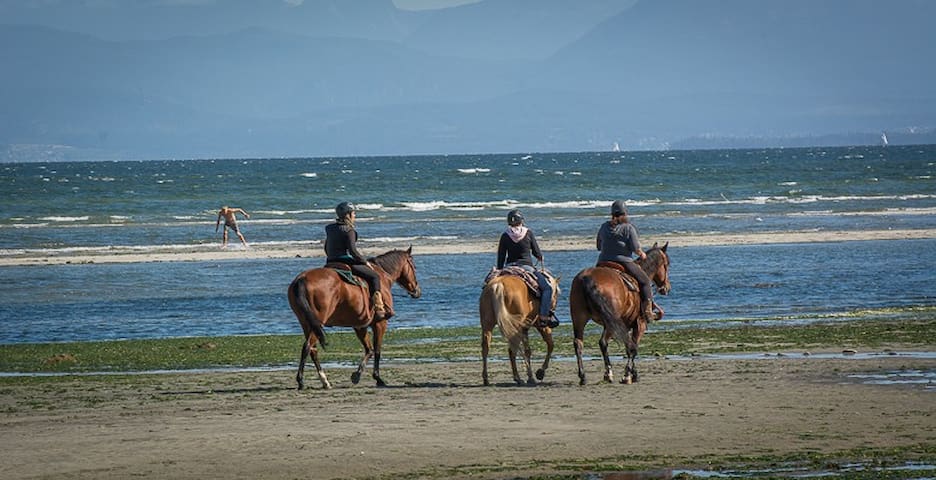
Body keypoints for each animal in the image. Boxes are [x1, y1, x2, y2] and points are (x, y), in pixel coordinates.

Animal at [288, 248, 422, 390]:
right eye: (414, 267)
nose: (417, 290)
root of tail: (302, 279)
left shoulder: (359, 326)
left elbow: (369, 349)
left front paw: (357, 375)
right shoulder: (380, 323)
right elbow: (377, 350)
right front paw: (377, 378)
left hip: (307, 324)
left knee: (313, 350)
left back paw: (325, 381)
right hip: (318, 323)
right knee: (307, 347)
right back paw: (301, 381)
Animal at [568, 242, 668, 384]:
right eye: (666, 264)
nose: (666, 287)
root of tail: (587, 278)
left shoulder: (623, 326)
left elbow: (628, 345)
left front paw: (633, 373)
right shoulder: (640, 324)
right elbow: (633, 347)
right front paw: (628, 375)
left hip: (579, 318)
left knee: (579, 344)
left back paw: (583, 376)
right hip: (611, 322)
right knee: (604, 342)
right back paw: (609, 374)